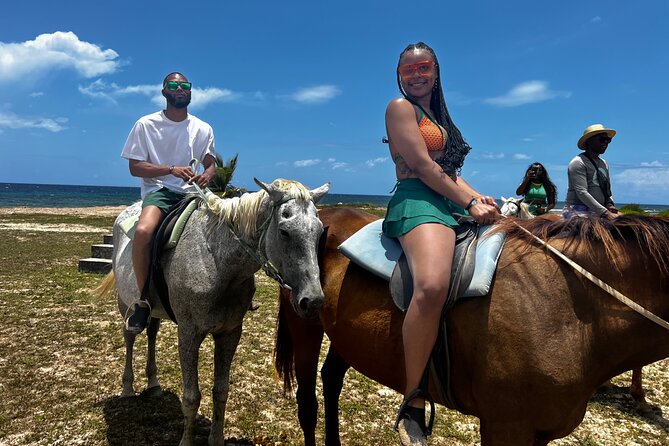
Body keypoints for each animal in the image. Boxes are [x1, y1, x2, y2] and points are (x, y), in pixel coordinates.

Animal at [96, 178, 329, 446]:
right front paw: (186, 441)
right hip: (127, 304)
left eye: (319, 232)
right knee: (130, 336)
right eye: (284, 231)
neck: (217, 263)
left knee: (152, 334)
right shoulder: (189, 334)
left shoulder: (229, 334)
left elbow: (221, 391)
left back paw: (153, 383)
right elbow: (191, 397)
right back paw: (127, 387)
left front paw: (215, 439)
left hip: (154, 310)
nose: (313, 301)